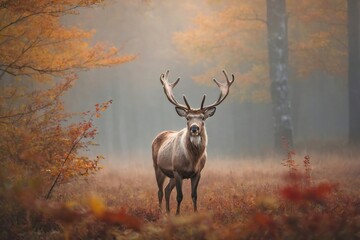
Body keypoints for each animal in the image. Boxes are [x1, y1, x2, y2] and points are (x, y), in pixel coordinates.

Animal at [151, 69, 233, 214]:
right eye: (188, 118)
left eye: (203, 118)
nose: (194, 128)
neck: (192, 160)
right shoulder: (177, 171)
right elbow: (179, 196)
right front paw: (178, 214)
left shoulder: (198, 172)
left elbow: (194, 195)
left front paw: (195, 213)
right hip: (157, 167)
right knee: (160, 191)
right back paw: (161, 212)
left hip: (171, 175)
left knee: (166, 190)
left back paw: (168, 212)